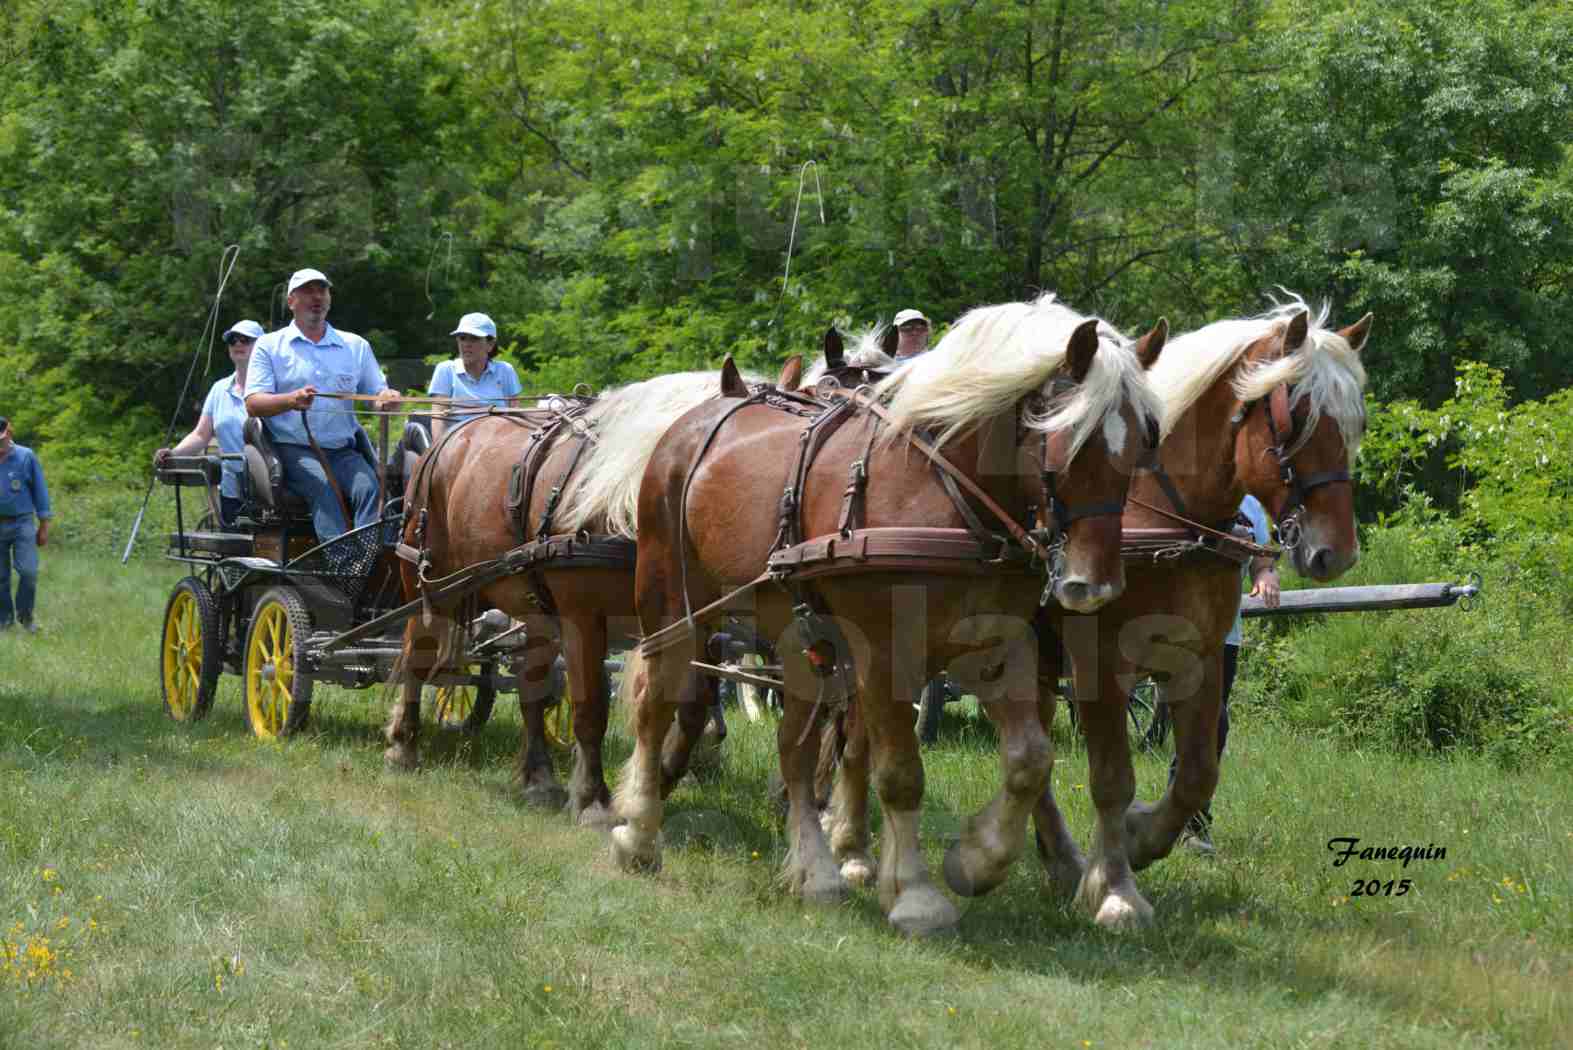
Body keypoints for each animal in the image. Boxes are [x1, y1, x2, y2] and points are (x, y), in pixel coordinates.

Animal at [383, 367, 770, 817]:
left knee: (531, 687)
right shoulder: (582, 618)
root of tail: (450, 439)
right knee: (417, 655)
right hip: (432, 587)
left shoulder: (691, 623)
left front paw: (660, 779)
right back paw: (403, 744)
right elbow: (591, 707)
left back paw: (539, 778)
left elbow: (692, 706)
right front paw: (592, 798)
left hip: (532, 607)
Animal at [613, 295, 1170, 936]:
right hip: (672, 606)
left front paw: (975, 860)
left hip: (796, 636)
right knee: (655, 704)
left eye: (1146, 439)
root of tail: (697, 418)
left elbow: (1030, 760)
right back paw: (639, 834)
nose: (1092, 584)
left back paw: (815, 872)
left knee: (793, 750)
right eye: (1067, 438)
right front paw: (915, 895)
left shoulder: (993, 646)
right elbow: (900, 774)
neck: (947, 494)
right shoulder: (882, 652)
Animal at [817, 295, 1371, 924]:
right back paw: (852, 847)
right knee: (860, 735)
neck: (1162, 519)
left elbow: (1197, 772)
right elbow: (1112, 778)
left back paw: (1054, 859)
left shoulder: (1197, 660)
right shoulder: (1101, 664)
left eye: (1357, 421)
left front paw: (1139, 840)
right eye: (1298, 415)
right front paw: (1116, 890)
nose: (1336, 552)